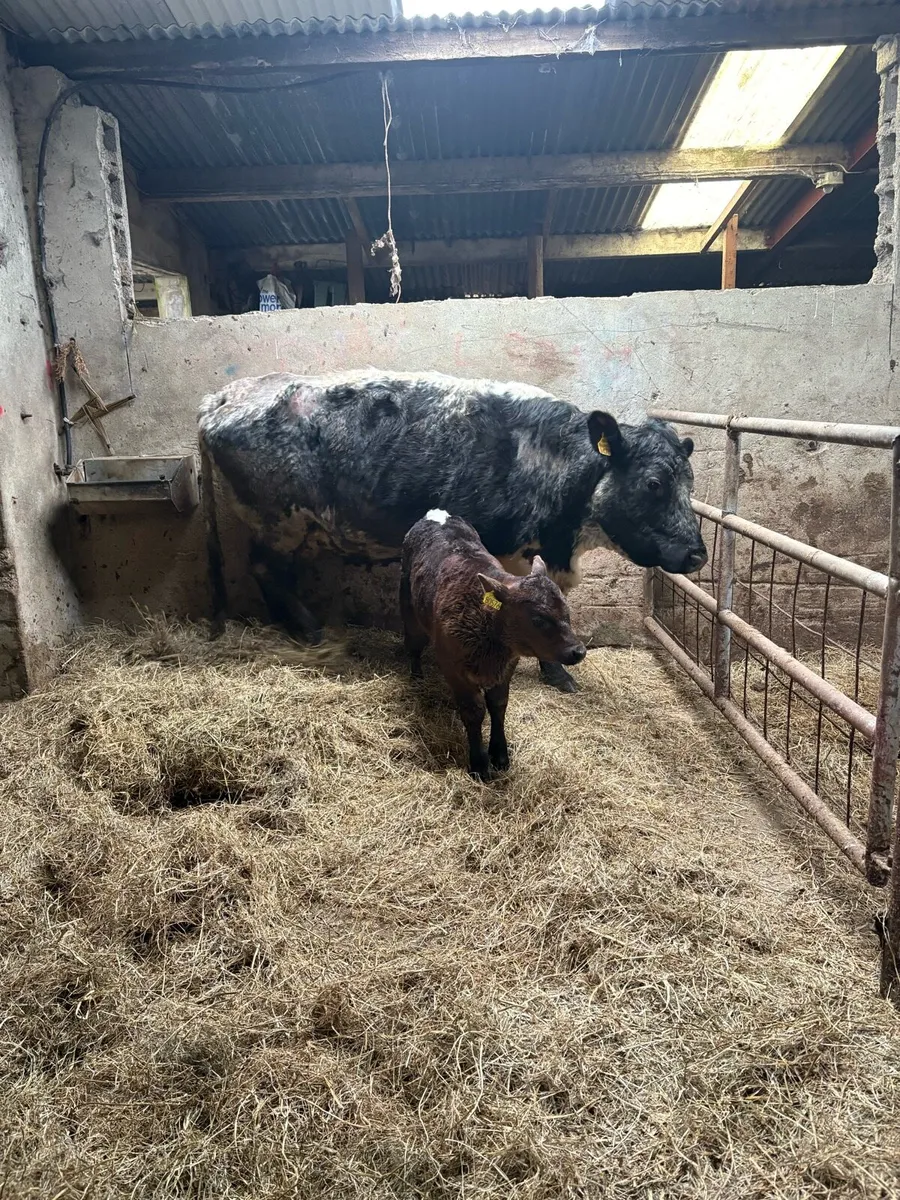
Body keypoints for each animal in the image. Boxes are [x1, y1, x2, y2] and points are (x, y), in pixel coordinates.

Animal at [198, 369, 706, 692]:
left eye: (690, 482)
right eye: (654, 483)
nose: (697, 554)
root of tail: (223, 397)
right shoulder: (510, 553)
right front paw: (554, 672)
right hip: (277, 520)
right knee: (266, 570)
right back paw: (311, 632)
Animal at [401, 510, 586, 780]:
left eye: (567, 611)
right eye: (538, 620)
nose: (578, 651)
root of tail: (437, 514)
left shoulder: (508, 665)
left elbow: (498, 704)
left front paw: (500, 755)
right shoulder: (453, 666)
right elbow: (474, 710)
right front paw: (479, 765)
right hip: (409, 607)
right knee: (413, 645)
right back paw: (416, 678)